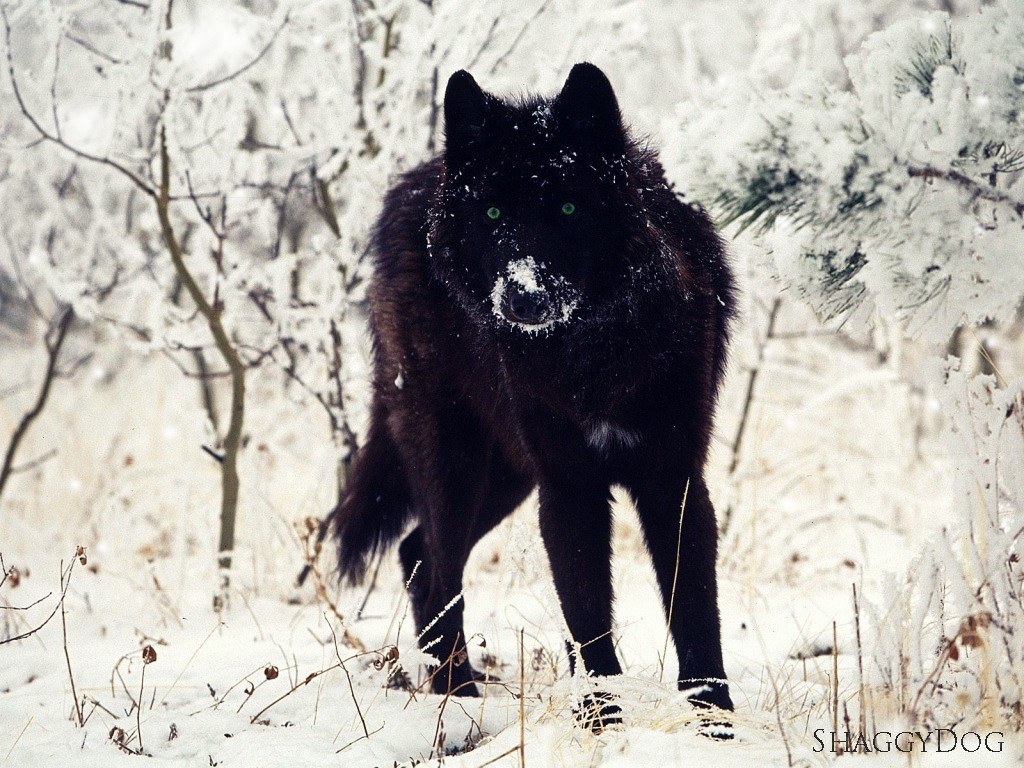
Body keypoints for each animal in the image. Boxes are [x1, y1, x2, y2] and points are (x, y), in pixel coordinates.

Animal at [331, 62, 736, 717]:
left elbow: (696, 612)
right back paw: (458, 697)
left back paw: (456, 692)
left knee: (417, 553)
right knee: (437, 566)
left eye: (568, 207)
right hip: (458, 465)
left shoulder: (672, 478)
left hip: (507, 476)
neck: (592, 356)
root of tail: (413, 184)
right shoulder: (568, 487)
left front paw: (714, 719)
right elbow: (587, 617)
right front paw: (600, 717)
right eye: (494, 215)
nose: (523, 298)